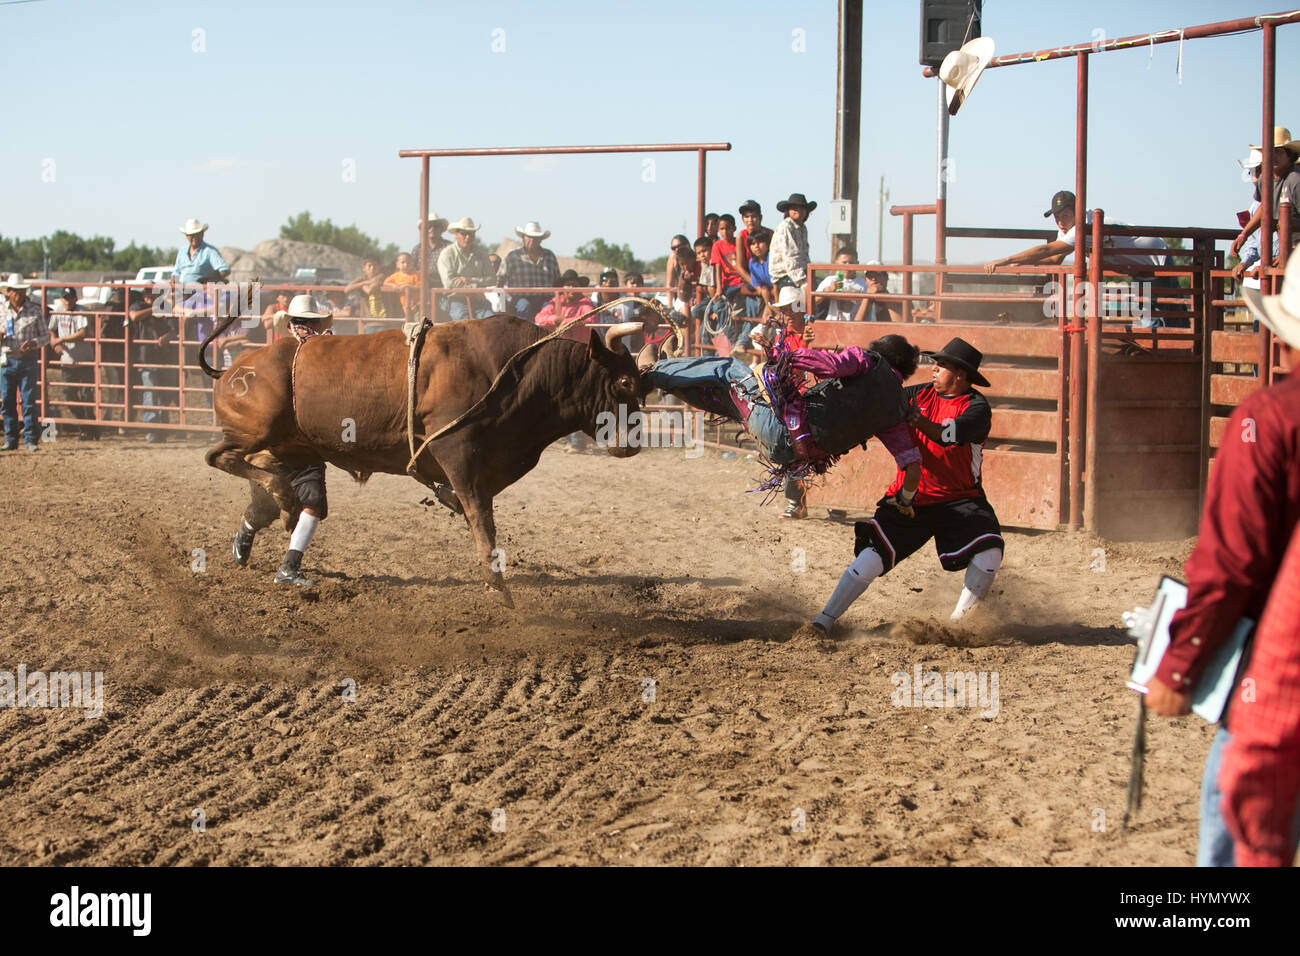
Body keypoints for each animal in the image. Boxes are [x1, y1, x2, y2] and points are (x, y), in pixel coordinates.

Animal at [196, 316, 644, 606]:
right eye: (624, 382)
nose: (635, 442)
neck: (516, 370)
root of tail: (232, 370)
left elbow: (475, 511)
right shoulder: (458, 453)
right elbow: (481, 519)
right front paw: (498, 585)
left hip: (286, 444)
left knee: (265, 481)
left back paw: (271, 517)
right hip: (256, 429)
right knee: (219, 457)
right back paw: (282, 501)